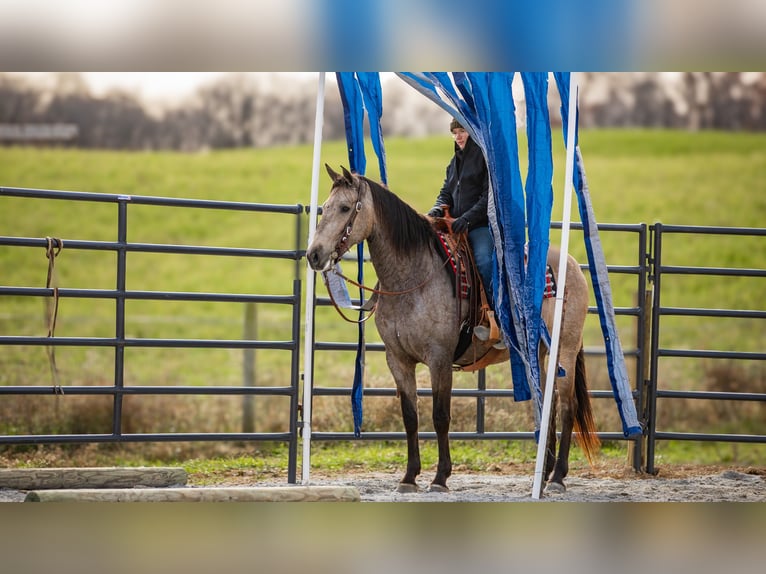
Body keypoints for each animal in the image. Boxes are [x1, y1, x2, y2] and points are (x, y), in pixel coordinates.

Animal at [306, 166, 600, 496]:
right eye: (325, 207)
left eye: (345, 208)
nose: (314, 255)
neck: (414, 276)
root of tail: (572, 265)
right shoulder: (398, 360)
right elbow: (410, 416)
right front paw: (409, 477)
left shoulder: (439, 359)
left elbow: (440, 416)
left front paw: (440, 477)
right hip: (537, 354)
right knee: (547, 405)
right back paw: (544, 473)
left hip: (565, 348)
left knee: (567, 407)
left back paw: (558, 477)